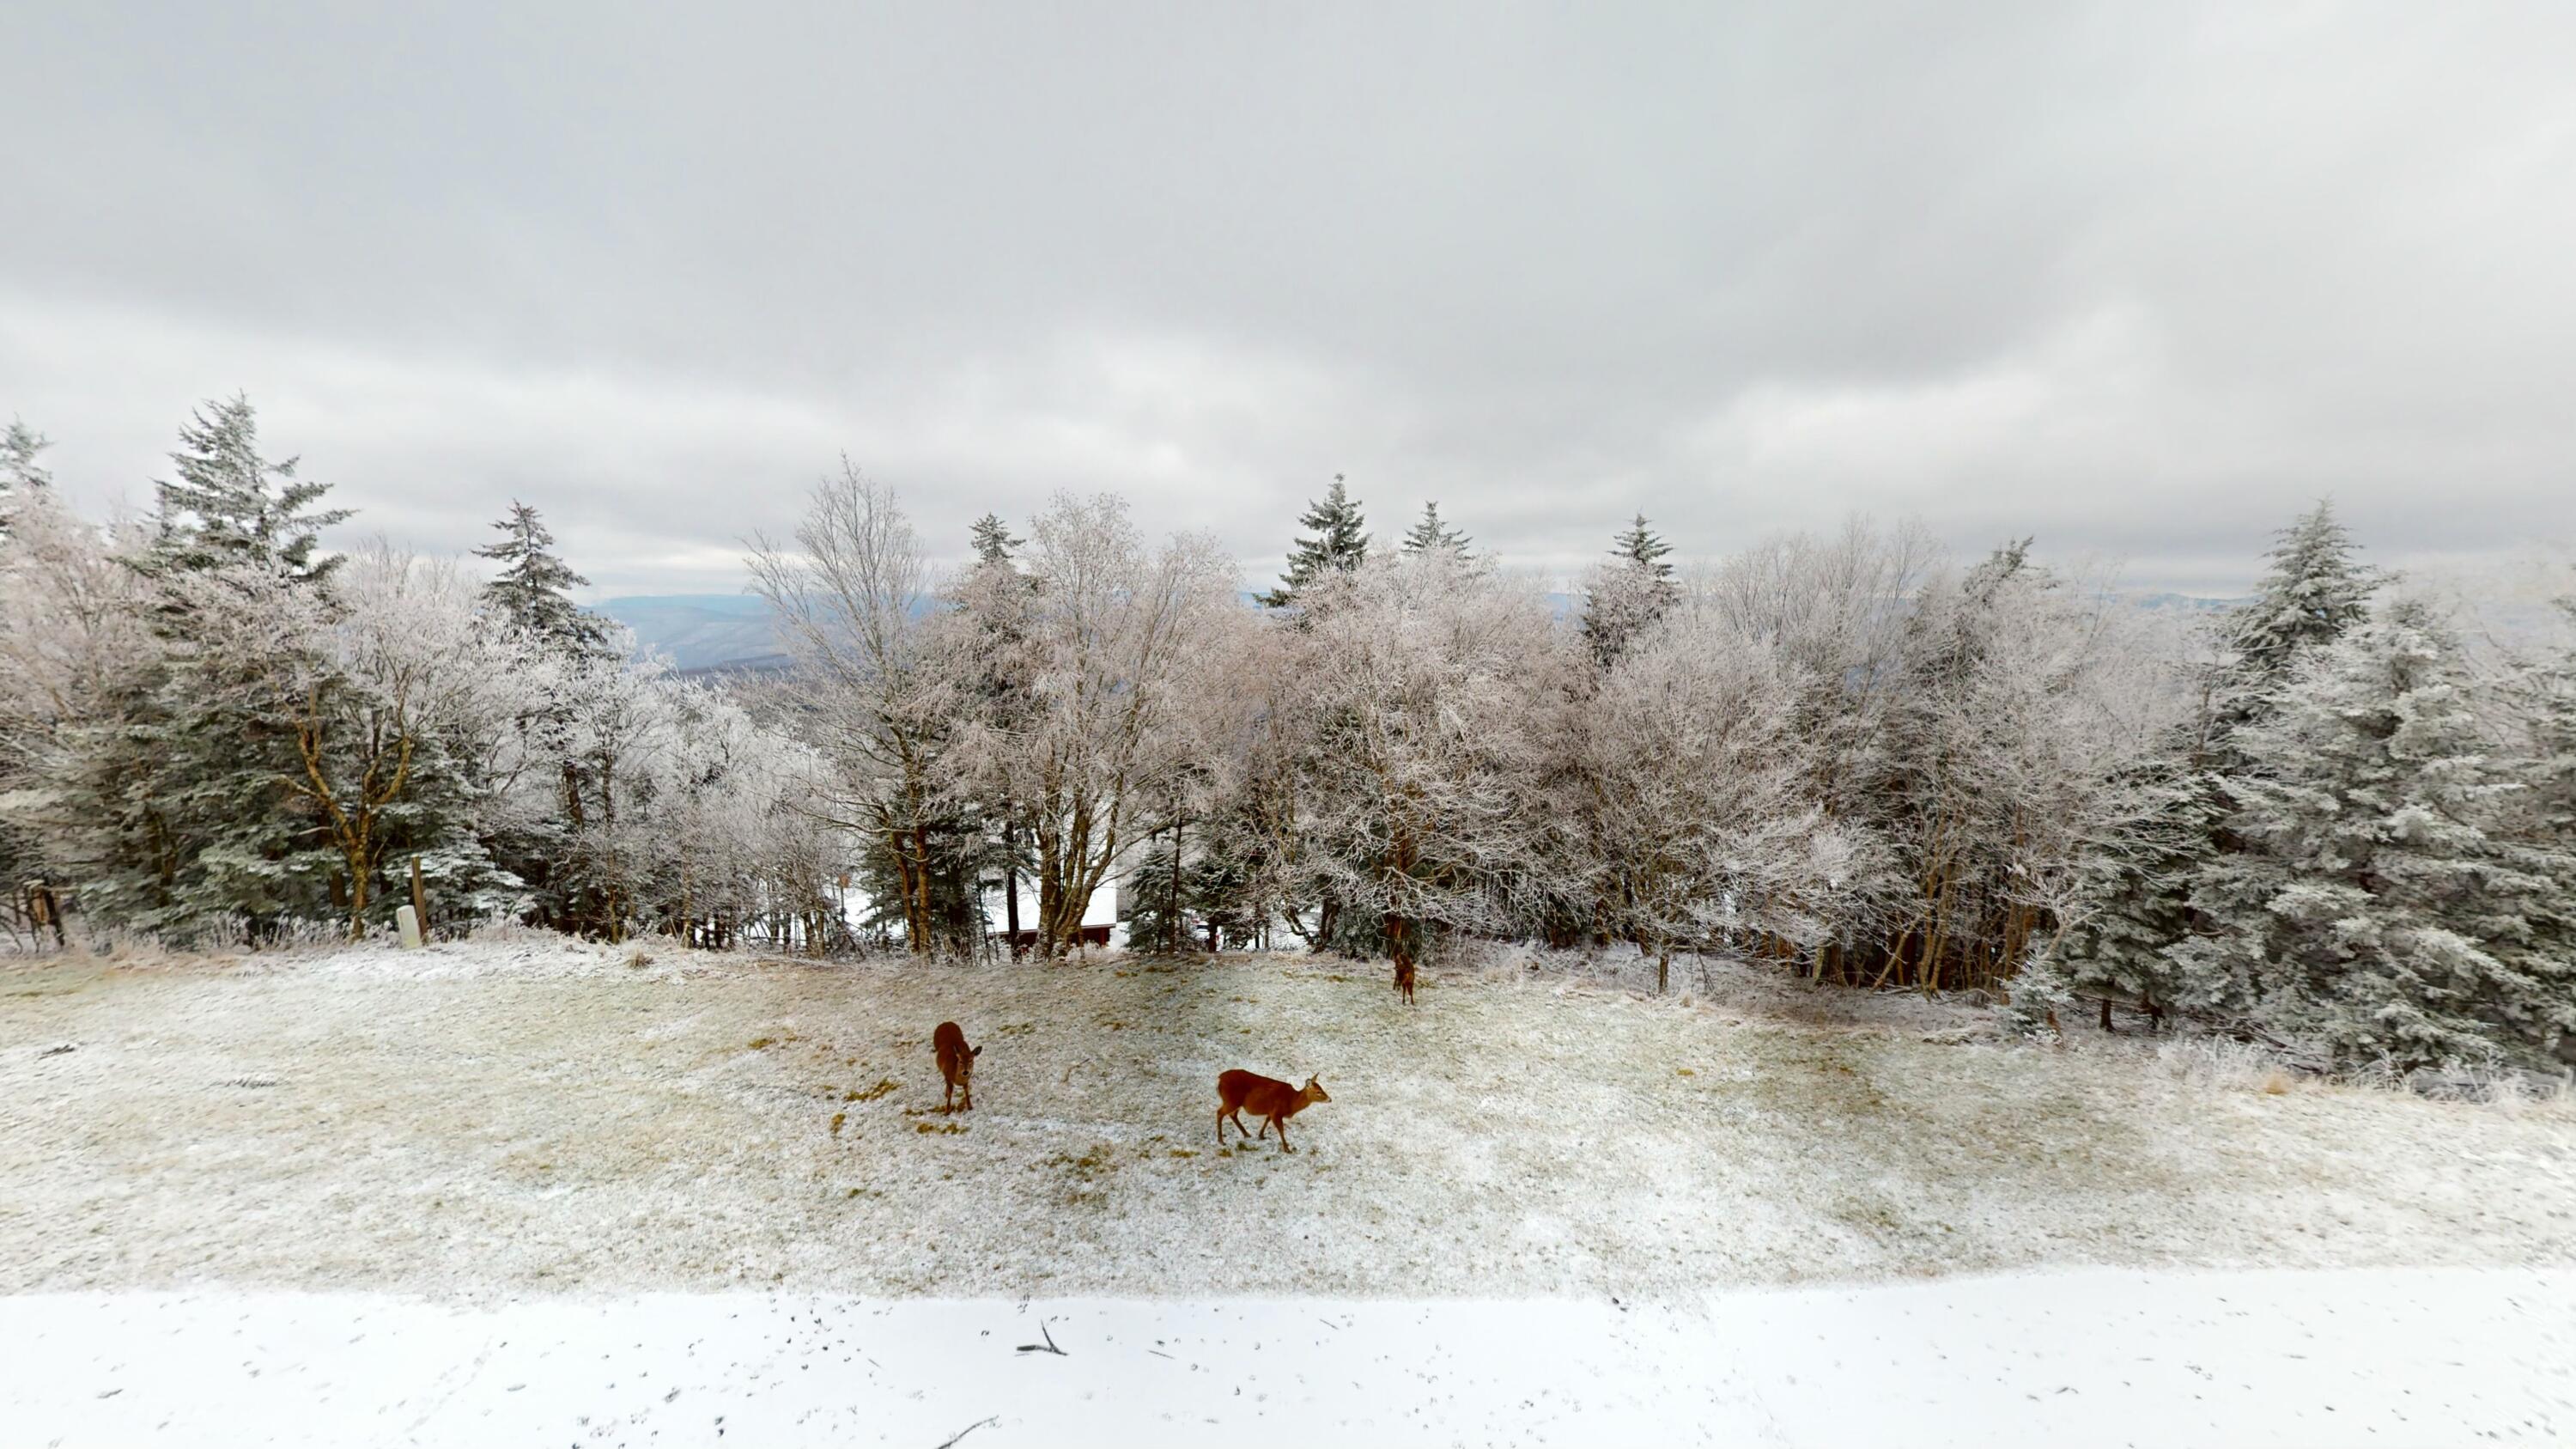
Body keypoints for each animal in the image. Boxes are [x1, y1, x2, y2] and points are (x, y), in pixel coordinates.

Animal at [1211, 1062, 1329, 1149]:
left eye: (1322, 1088)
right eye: (1318, 1092)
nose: (1330, 1099)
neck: (1291, 1101)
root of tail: (1219, 1079)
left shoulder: (1271, 1111)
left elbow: (1267, 1120)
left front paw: (1261, 1135)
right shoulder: (1276, 1112)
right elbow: (1281, 1129)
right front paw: (1287, 1148)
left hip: (1236, 1102)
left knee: (1232, 1115)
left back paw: (1246, 1134)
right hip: (1231, 1100)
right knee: (1220, 1112)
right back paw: (1221, 1141)